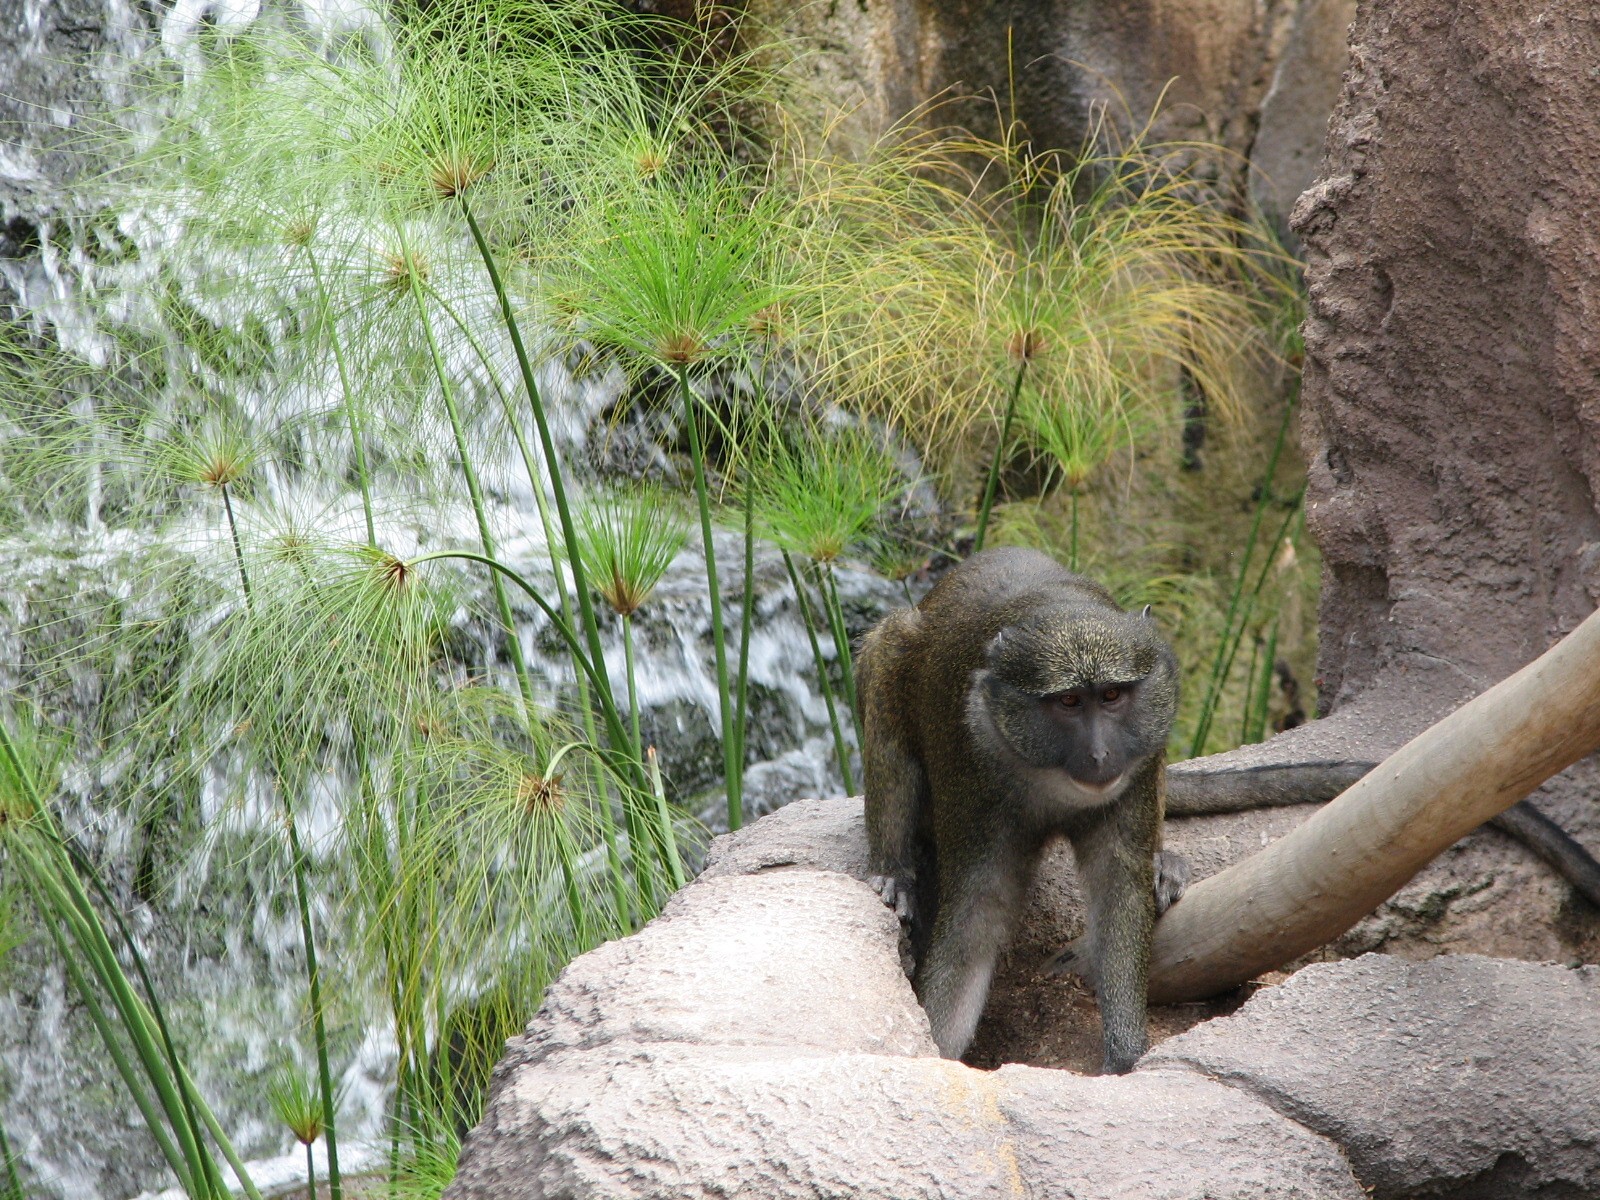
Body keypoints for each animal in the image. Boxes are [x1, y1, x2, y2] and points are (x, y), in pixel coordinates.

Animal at [858, 546, 1184, 1073]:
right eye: (1069, 701)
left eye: (1112, 695)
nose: (1100, 755)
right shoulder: (972, 767)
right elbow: (977, 911)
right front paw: (938, 1052)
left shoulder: (1139, 758)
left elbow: (1119, 895)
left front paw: (1126, 1056)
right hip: (898, 648)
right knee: (889, 657)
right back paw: (892, 870)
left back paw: (1165, 863)